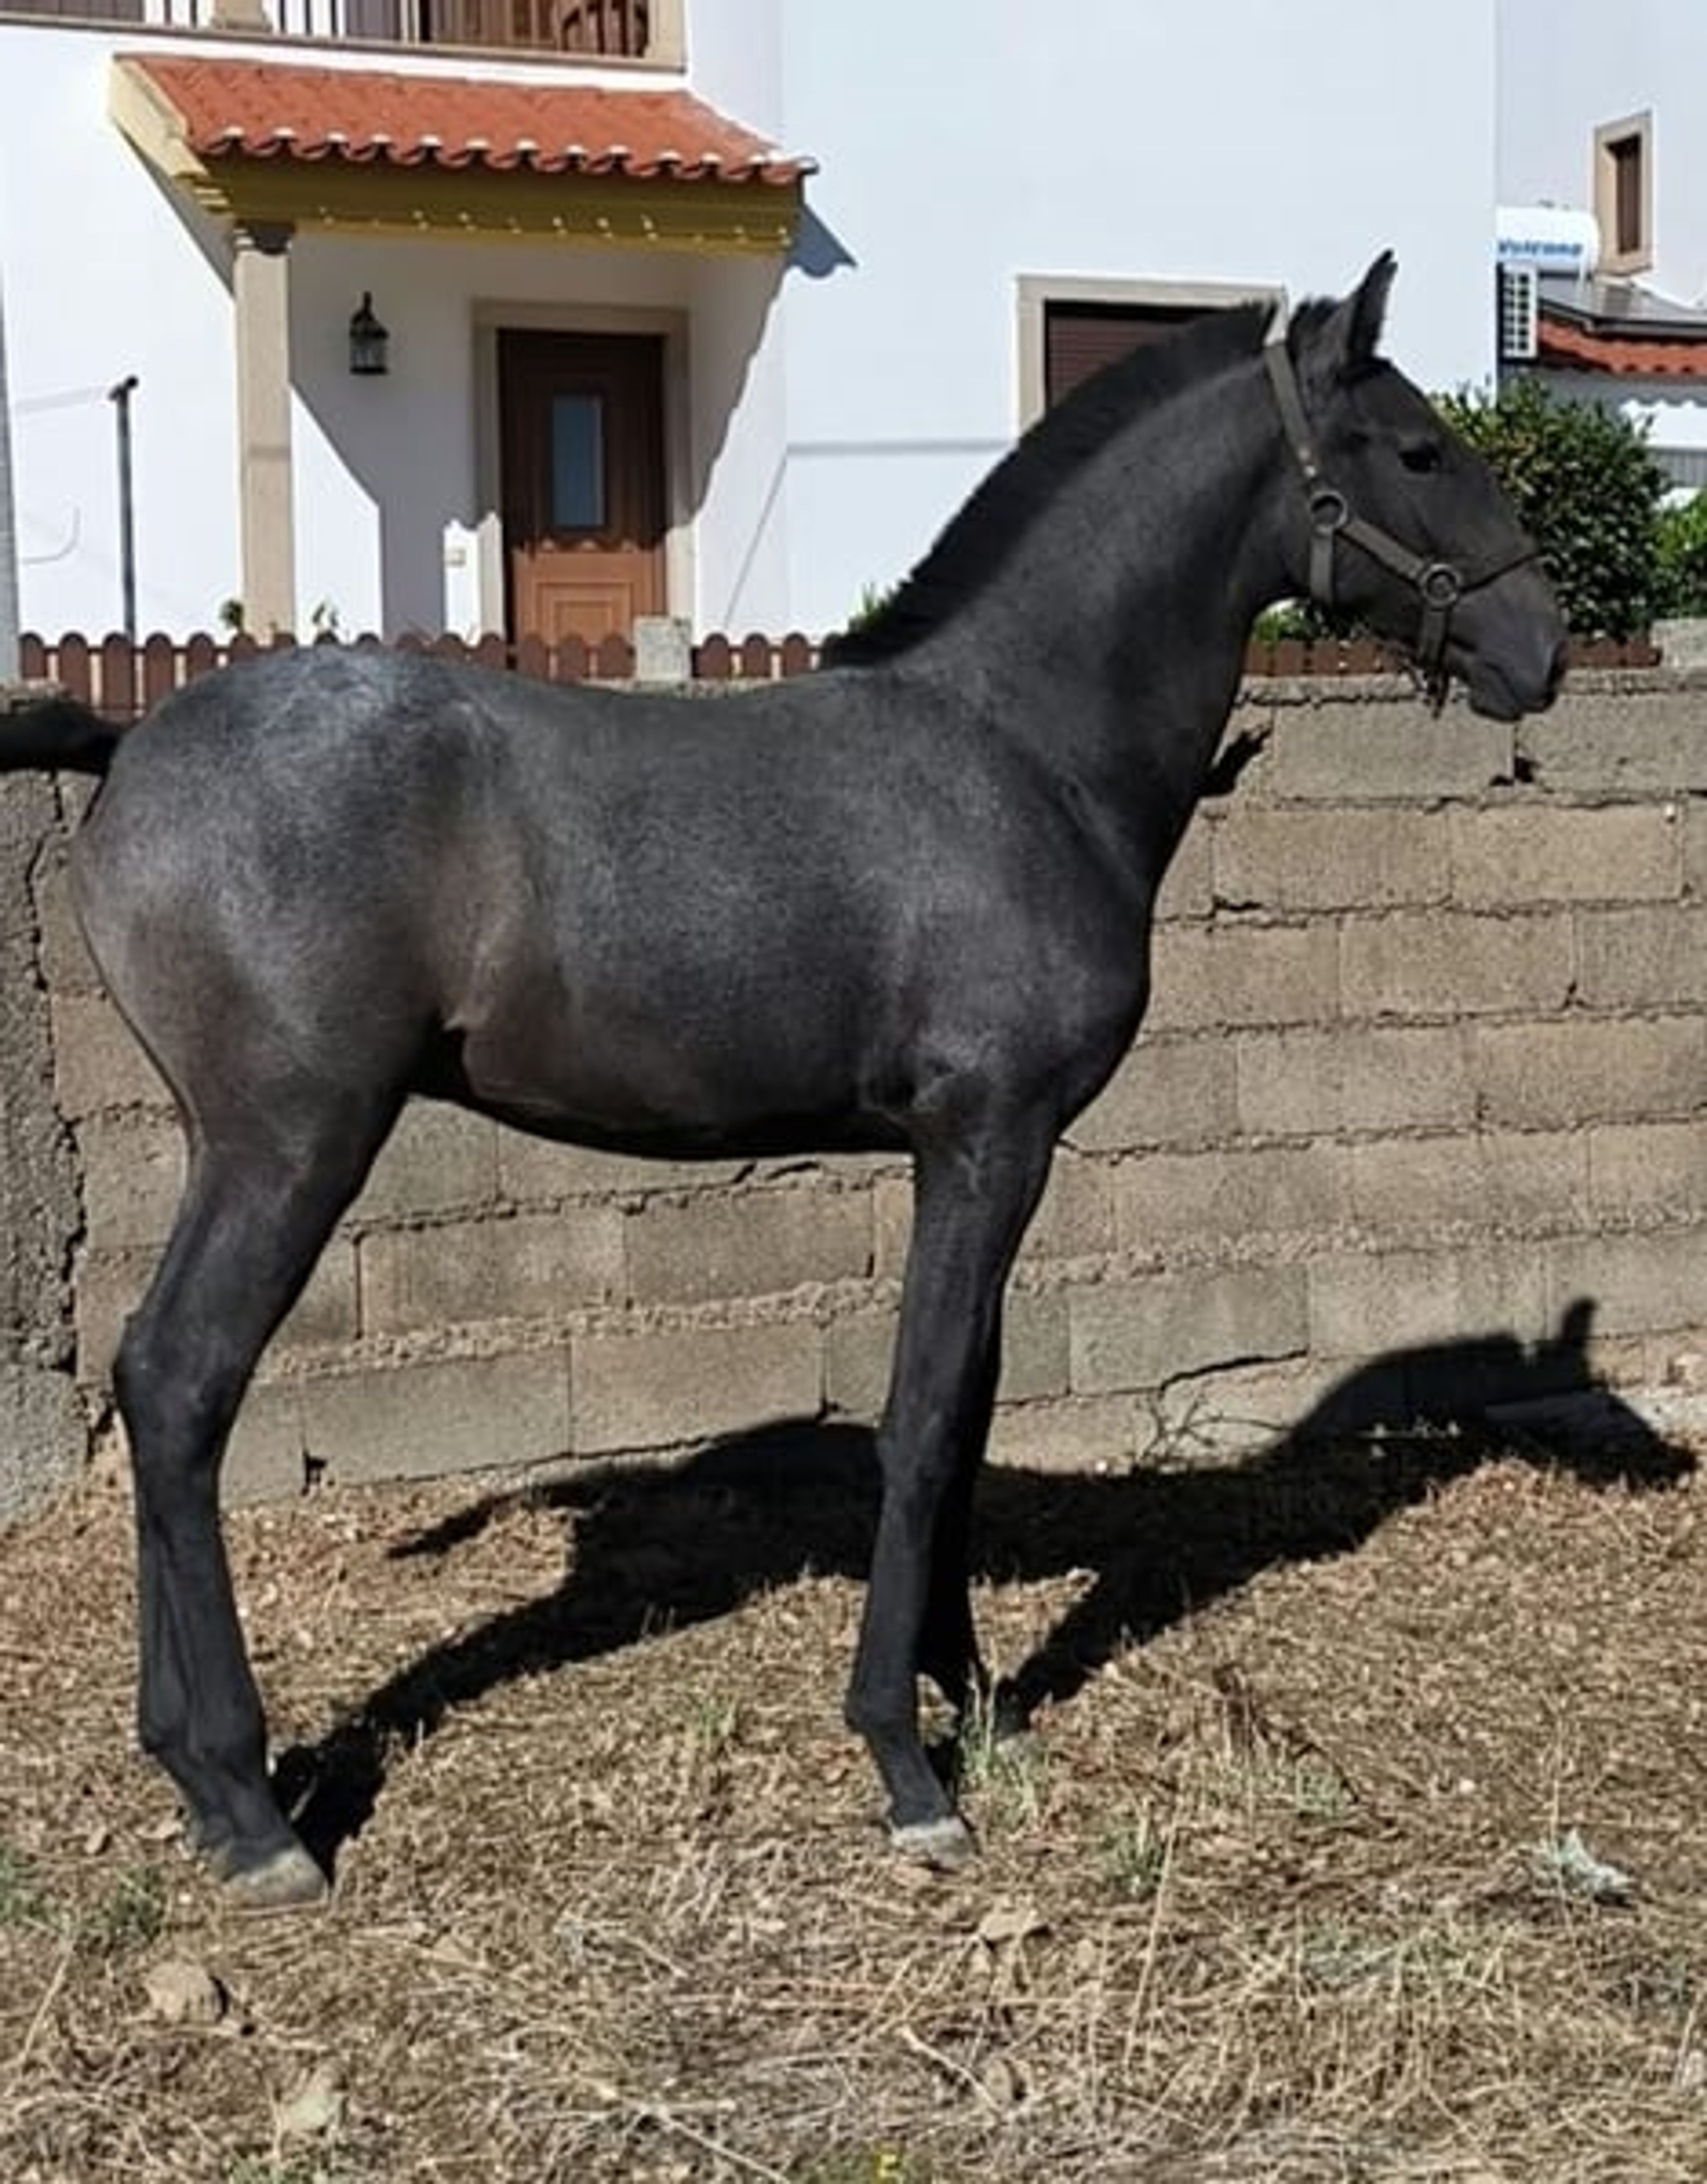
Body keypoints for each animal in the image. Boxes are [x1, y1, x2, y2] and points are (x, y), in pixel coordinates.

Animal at [0, 255, 1566, 1910]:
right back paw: (252, 1808)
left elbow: (972, 1406)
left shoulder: (988, 1155)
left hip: (232, 1142)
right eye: (1418, 451)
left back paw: (187, 1774)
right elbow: (926, 1414)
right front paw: (904, 1758)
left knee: (153, 1386)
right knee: (182, 1383)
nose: (1542, 646)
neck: (1020, 752)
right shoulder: (987, 1137)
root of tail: (128, 741)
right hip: (291, 1139)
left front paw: (974, 1693)